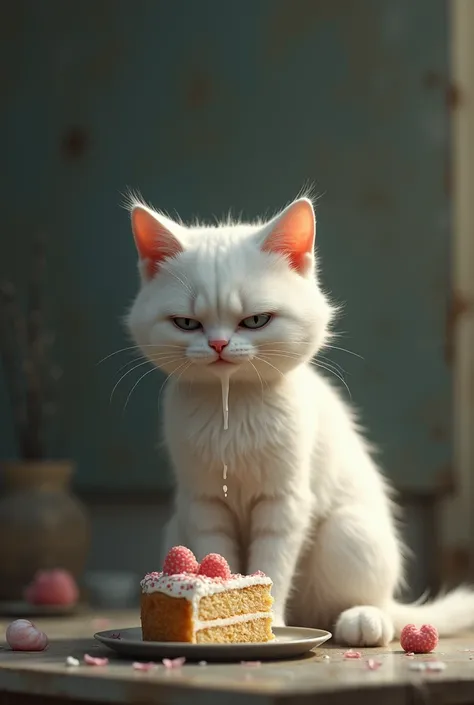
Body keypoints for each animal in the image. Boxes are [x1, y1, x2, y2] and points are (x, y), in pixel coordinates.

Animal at [127, 197, 474, 644]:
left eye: (256, 320)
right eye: (186, 323)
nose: (218, 344)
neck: (233, 410)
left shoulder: (285, 501)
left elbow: (273, 562)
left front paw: (272, 624)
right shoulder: (204, 504)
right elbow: (216, 552)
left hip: (347, 533)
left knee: (375, 606)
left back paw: (363, 621)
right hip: (177, 527)